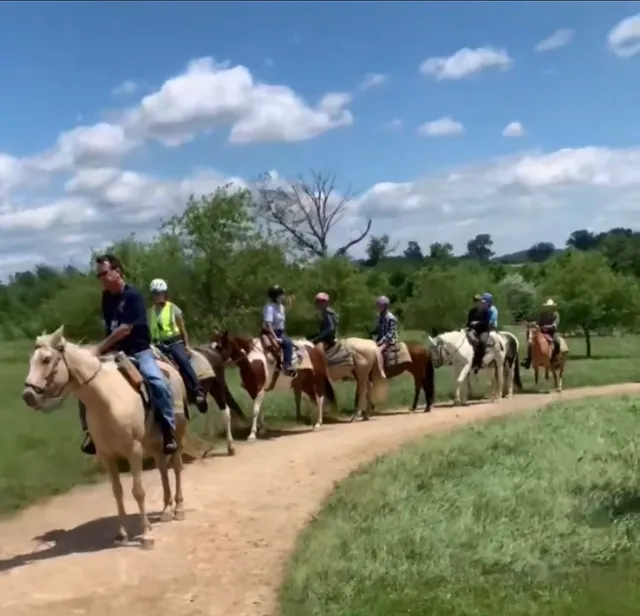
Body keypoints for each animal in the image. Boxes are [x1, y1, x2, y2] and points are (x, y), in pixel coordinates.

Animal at [22, 326, 188, 549]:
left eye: (46, 359)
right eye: (31, 359)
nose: (28, 395)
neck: (107, 399)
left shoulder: (133, 450)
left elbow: (138, 491)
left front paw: (146, 535)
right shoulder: (107, 455)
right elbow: (117, 492)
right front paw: (122, 534)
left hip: (176, 433)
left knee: (176, 466)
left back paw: (178, 509)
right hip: (152, 442)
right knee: (162, 468)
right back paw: (166, 510)